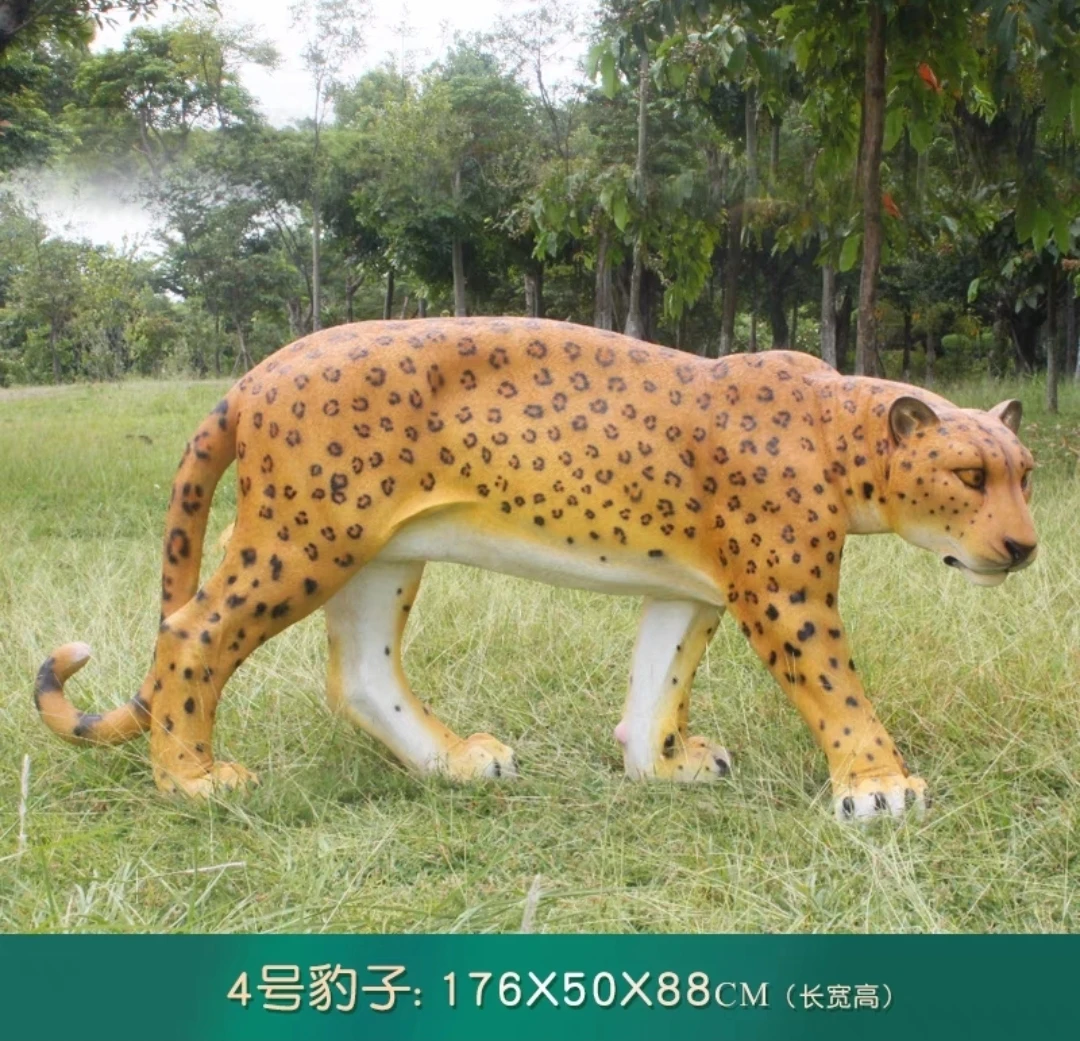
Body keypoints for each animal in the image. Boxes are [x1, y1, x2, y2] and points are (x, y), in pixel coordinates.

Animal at [33, 317, 1038, 821]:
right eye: (968, 474)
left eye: (1025, 473)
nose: (1025, 546)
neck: (842, 430)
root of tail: (260, 369)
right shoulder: (784, 594)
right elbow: (837, 686)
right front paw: (879, 786)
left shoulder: (687, 588)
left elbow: (659, 680)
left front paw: (657, 764)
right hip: (303, 539)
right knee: (192, 632)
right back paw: (193, 780)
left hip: (381, 552)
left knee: (359, 672)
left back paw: (454, 763)